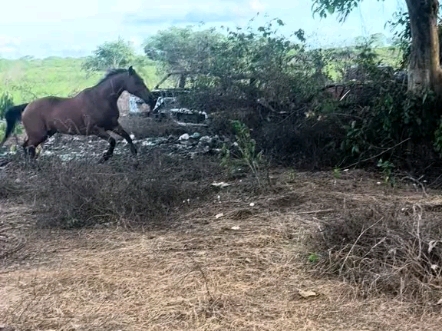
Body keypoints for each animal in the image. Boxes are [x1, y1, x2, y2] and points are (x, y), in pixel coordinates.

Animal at [0, 66, 155, 163]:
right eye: (138, 81)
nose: (151, 98)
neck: (100, 99)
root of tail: (27, 106)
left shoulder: (113, 124)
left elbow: (127, 137)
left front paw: (135, 159)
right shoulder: (95, 129)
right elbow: (112, 141)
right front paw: (103, 158)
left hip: (46, 133)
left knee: (26, 146)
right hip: (39, 135)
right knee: (28, 146)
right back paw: (33, 165)